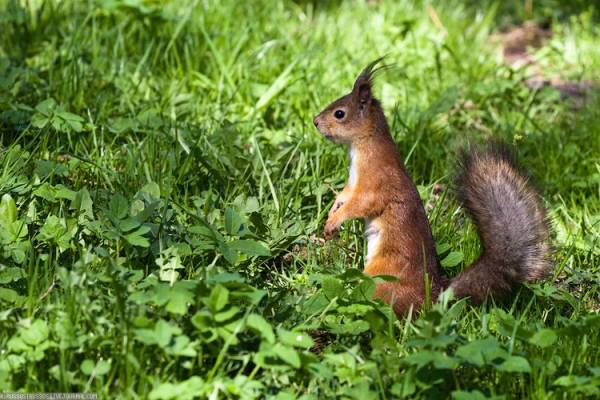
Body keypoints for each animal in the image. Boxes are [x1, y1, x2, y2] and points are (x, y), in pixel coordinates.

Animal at [314, 57, 552, 318]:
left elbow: (362, 203)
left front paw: (335, 221)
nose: (315, 122)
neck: (362, 146)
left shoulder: (376, 181)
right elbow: (345, 195)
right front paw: (331, 214)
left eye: (339, 113)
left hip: (382, 278)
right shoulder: (353, 182)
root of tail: (432, 297)